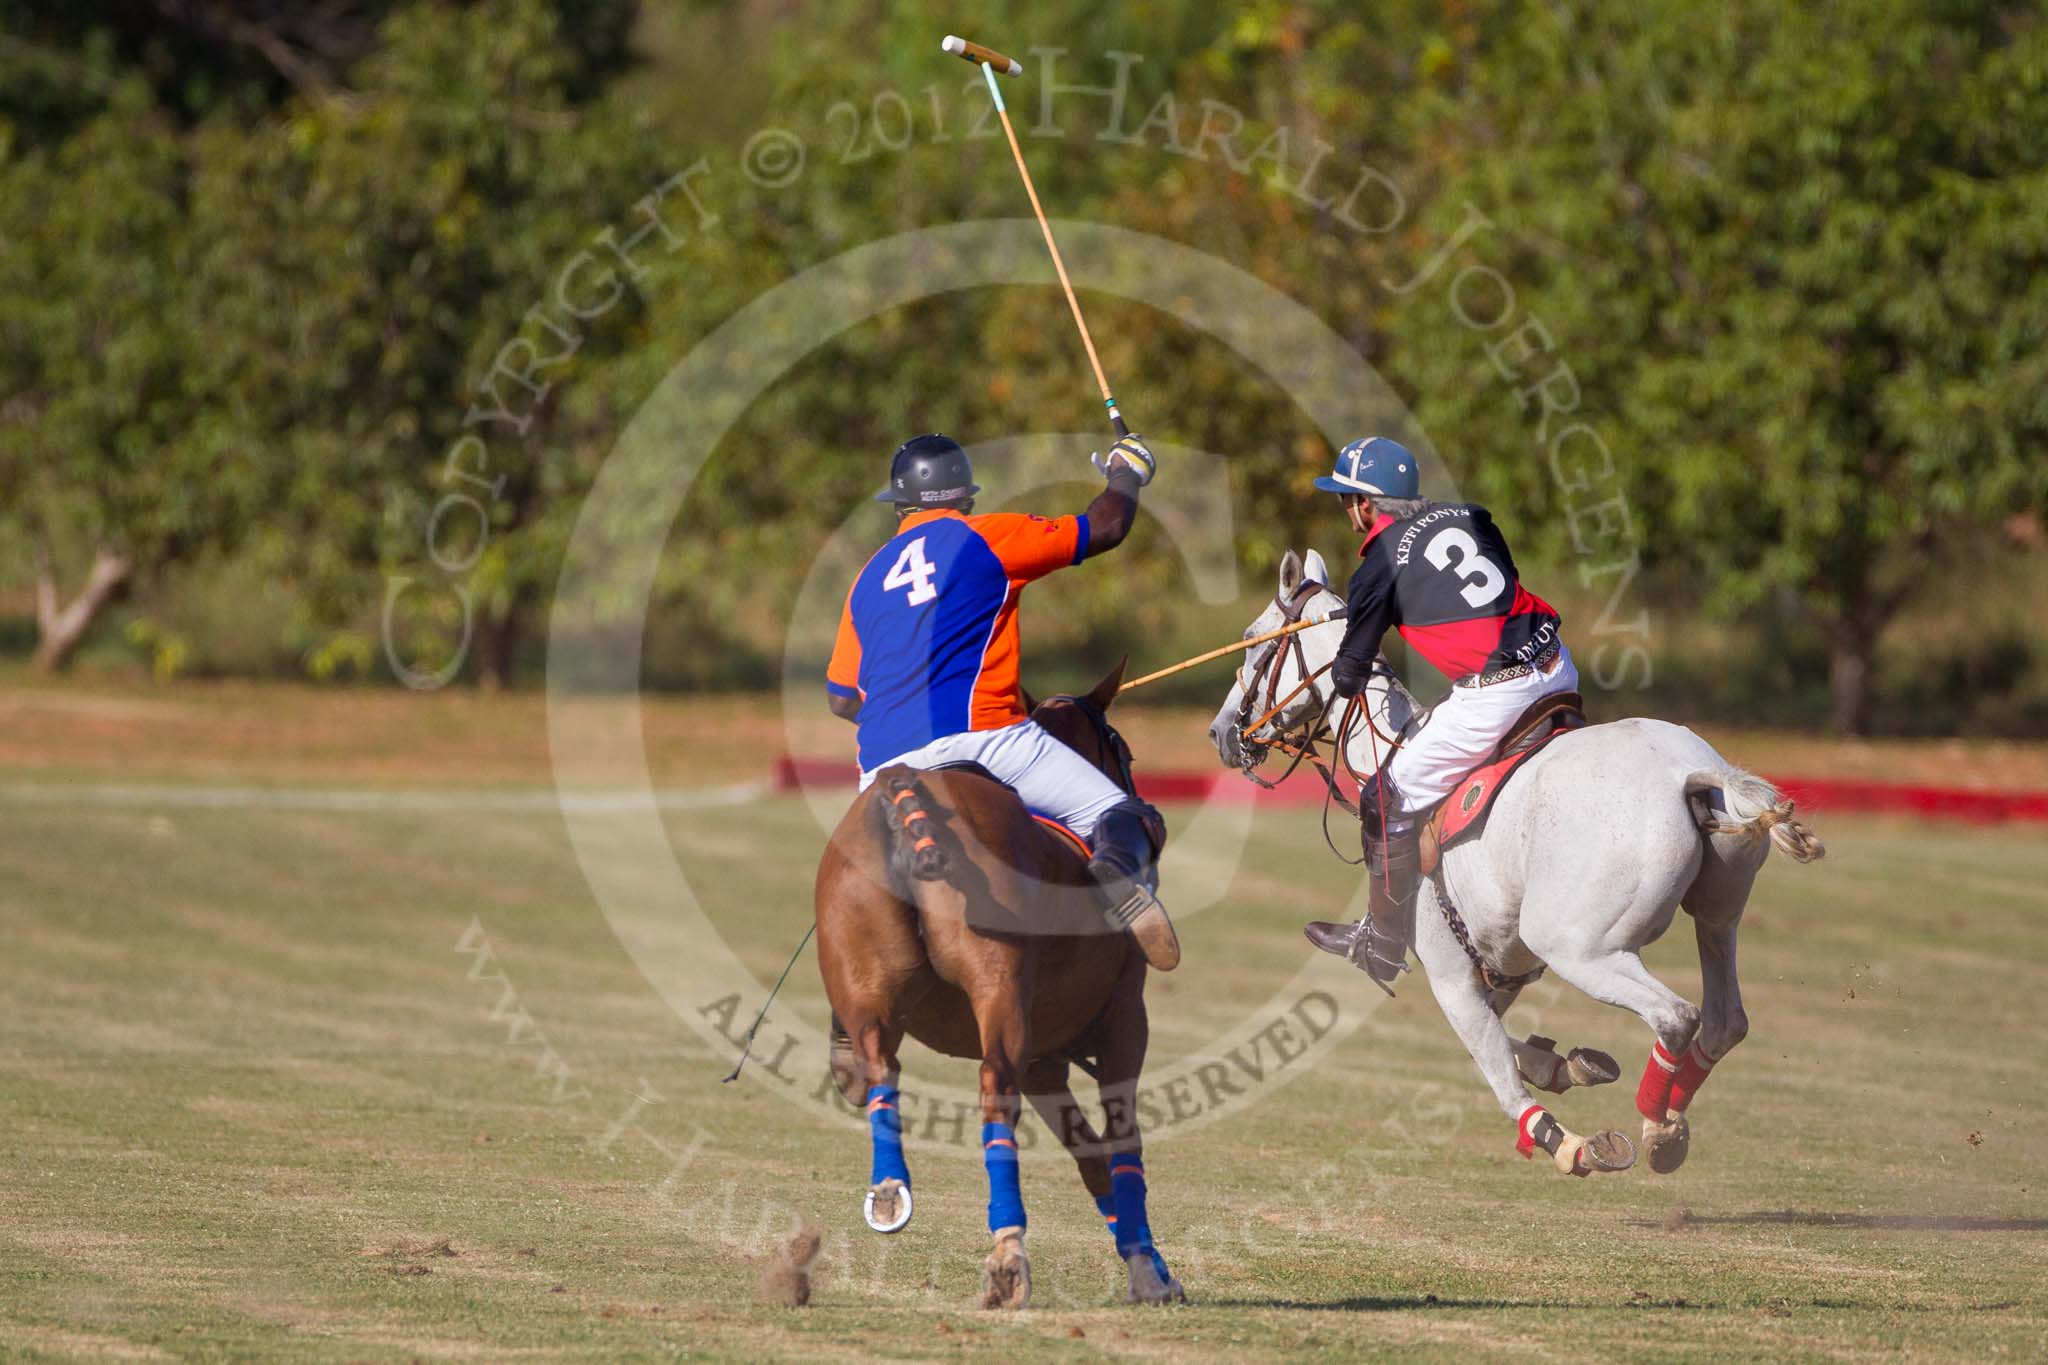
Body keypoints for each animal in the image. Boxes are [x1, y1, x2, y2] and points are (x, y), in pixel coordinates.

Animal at [811, 663, 1179, 1309]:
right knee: (993, 1087)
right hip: (999, 983)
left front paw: (1147, 1263)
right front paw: (1148, 1270)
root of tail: (906, 788)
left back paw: (889, 1187)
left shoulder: (1045, 1060)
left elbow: (1090, 1156)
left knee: (882, 1068)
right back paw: (1008, 1254)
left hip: (867, 981)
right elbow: (1122, 1142)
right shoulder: (1122, 1022)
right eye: (1124, 750)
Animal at [1196, 548, 1826, 1178]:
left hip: (1578, 946)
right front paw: (1569, 1065)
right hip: (1717, 914)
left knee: (1675, 1016)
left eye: (1252, 640)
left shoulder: (1453, 973)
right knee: (1724, 1018)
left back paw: (1655, 1128)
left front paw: (1564, 1141)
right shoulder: (1504, 965)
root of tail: (1690, 773)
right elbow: (1507, 1043)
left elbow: (1498, 1070)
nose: (1221, 733)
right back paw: (1668, 1123)